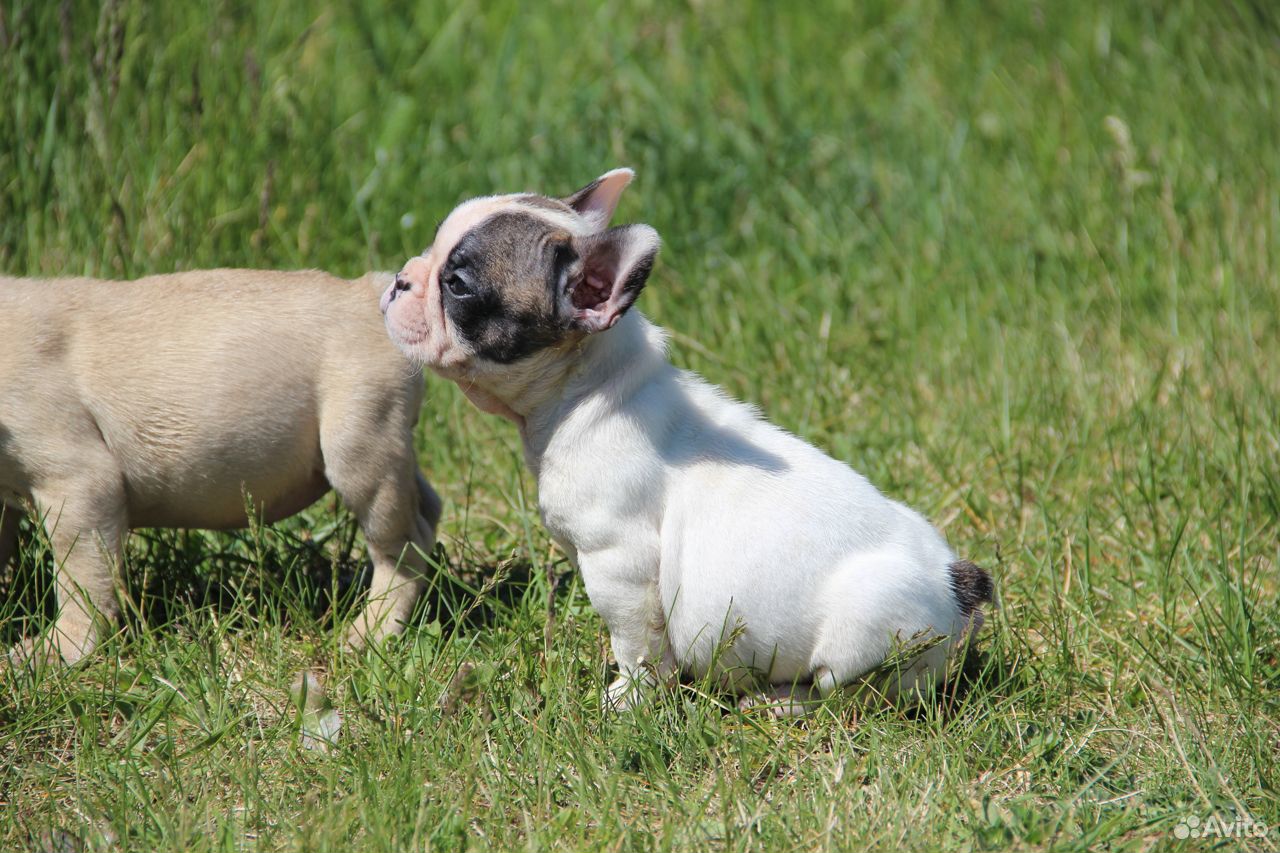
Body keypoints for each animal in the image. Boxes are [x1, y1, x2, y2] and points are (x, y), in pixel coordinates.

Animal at [1, 268, 440, 660]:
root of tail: (367, 291)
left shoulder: (77, 483)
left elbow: (81, 577)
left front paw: (58, 651)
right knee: (426, 506)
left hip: (359, 442)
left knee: (400, 544)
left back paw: (371, 632)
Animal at [378, 167, 988, 712]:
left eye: (458, 286)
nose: (398, 279)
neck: (588, 389)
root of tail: (958, 586)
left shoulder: (620, 565)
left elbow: (636, 646)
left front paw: (630, 699)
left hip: (860, 638)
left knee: (850, 695)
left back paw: (781, 701)